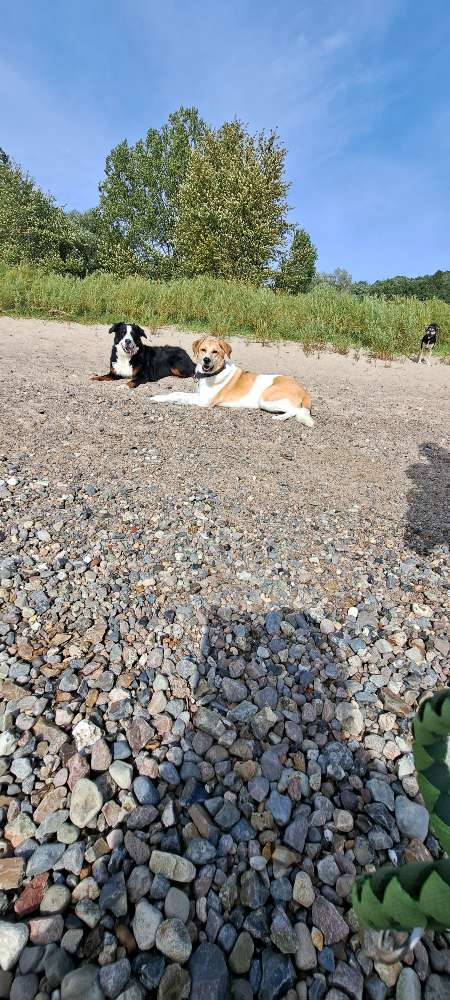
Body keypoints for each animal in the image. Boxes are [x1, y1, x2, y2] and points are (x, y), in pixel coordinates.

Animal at [149, 338, 314, 428]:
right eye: (203, 350)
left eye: (215, 352)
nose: (206, 360)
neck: (213, 373)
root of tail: (303, 390)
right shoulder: (200, 395)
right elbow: (176, 393)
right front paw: (158, 397)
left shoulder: (205, 401)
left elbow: (182, 397)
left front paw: (179, 402)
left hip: (265, 399)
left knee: (296, 410)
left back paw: (280, 417)